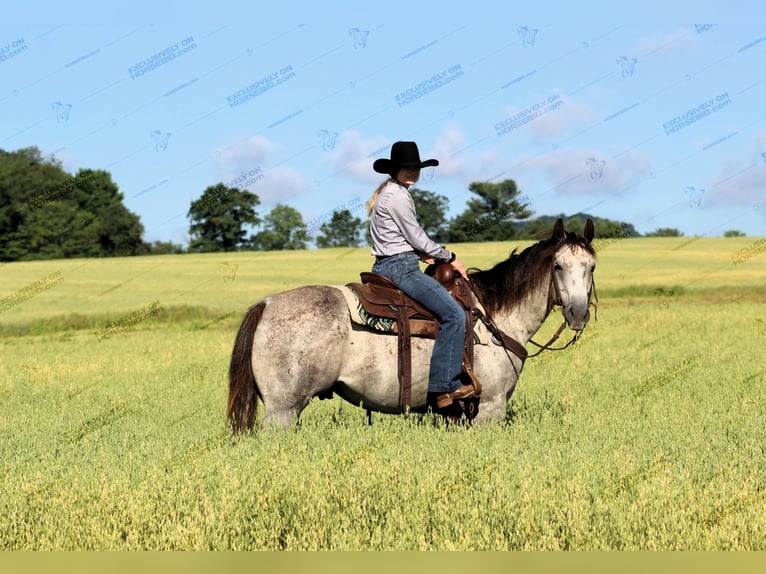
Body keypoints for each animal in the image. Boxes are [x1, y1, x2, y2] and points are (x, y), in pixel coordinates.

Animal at [228, 219, 600, 432]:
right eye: (558, 266)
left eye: (591, 266)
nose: (578, 313)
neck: (494, 316)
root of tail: (267, 304)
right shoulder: (491, 408)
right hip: (282, 411)